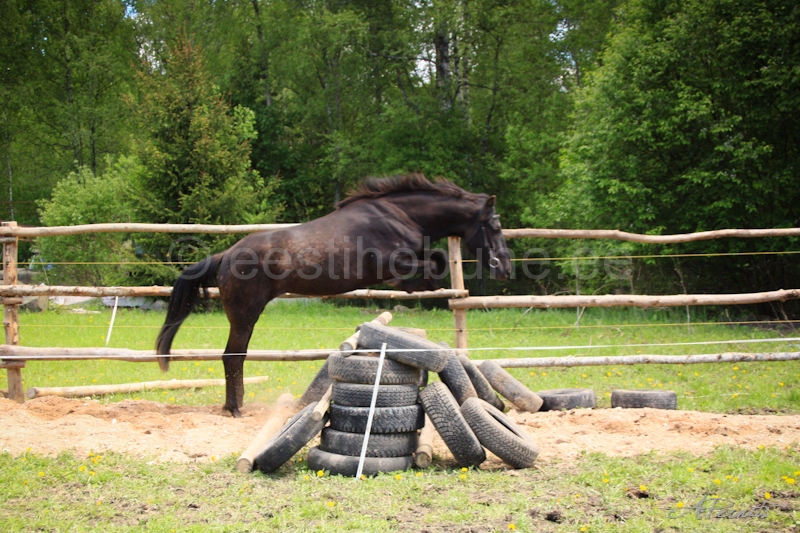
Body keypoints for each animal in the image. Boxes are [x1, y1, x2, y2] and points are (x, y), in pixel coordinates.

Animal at [156, 174, 511, 417]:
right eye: (494, 226)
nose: (504, 268)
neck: (401, 215)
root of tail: (225, 255)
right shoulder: (392, 263)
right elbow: (432, 265)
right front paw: (419, 286)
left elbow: (434, 261)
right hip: (245, 314)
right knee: (232, 355)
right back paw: (234, 408)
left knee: (234, 356)